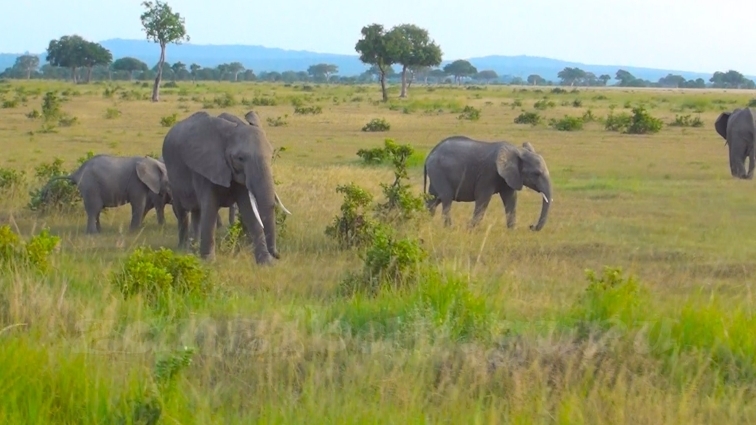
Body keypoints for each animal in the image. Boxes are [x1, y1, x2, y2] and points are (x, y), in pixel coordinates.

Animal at [40, 153, 171, 232]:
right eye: (168, 182)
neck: (151, 162)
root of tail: (76, 173)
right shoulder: (136, 181)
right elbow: (138, 204)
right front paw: (133, 232)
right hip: (90, 185)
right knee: (95, 208)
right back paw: (93, 234)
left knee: (96, 209)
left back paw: (99, 232)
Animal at [161, 110, 290, 262]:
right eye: (240, 158)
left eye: (271, 156)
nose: (278, 255)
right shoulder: (205, 168)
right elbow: (210, 208)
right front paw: (208, 262)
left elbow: (249, 210)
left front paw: (267, 263)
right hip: (172, 177)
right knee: (182, 213)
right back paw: (182, 251)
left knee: (197, 213)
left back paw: (192, 251)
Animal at [422, 135, 552, 230]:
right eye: (536, 174)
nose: (531, 226)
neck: (517, 151)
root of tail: (429, 155)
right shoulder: (488, 173)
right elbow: (483, 198)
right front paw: (470, 229)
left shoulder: (510, 176)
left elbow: (511, 199)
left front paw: (511, 231)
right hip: (439, 172)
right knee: (446, 199)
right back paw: (449, 228)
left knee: (433, 200)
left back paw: (426, 223)